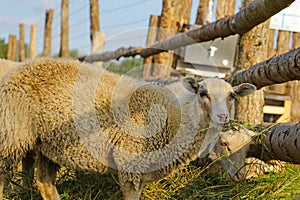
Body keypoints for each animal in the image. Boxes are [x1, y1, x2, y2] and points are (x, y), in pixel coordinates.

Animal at [0, 57, 255, 199]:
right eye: (203, 93)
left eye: (232, 96)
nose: (222, 116)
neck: (174, 120)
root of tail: (24, 65)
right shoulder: (130, 163)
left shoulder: (142, 170)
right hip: (11, 135)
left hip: (47, 143)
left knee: (44, 182)